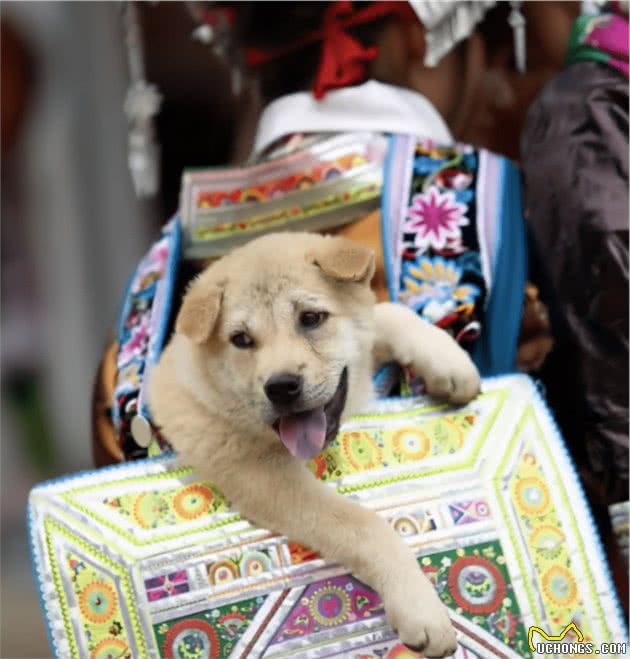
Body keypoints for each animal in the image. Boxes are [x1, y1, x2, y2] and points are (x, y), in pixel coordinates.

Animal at [150, 232, 481, 657]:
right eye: (241, 340)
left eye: (311, 318)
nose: (281, 387)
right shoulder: (267, 480)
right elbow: (365, 525)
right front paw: (419, 605)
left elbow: (388, 313)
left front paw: (449, 362)